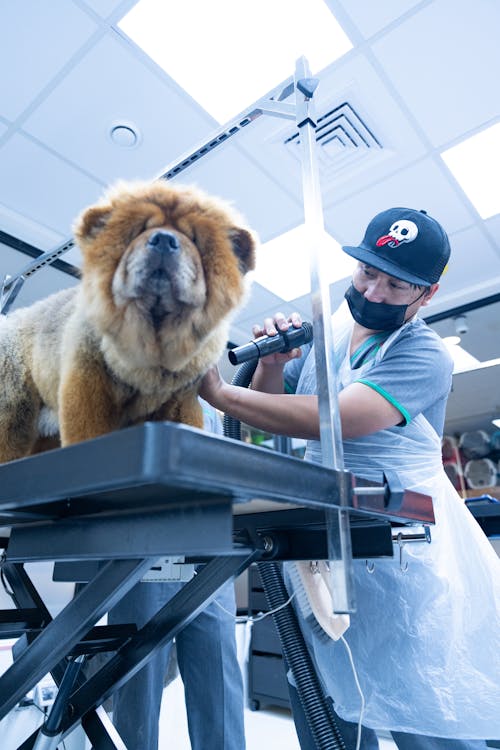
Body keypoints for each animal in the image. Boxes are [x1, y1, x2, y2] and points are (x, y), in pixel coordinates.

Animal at [0, 182, 256, 464]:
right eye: (139, 231)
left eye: (195, 239)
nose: (164, 239)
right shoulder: (88, 384)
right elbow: (87, 433)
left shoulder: (180, 400)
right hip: (15, 408)